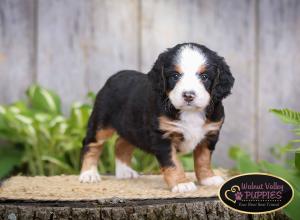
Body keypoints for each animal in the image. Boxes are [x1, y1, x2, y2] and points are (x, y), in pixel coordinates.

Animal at [79, 42, 234, 192]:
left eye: (204, 77)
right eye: (175, 76)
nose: (188, 95)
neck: (190, 112)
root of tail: (117, 75)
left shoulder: (210, 134)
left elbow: (203, 159)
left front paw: (208, 178)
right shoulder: (162, 137)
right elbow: (173, 163)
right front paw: (181, 183)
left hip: (132, 127)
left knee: (120, 143)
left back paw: (125, 171)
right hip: (101, 123)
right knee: (92, 144)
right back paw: (88, 174)